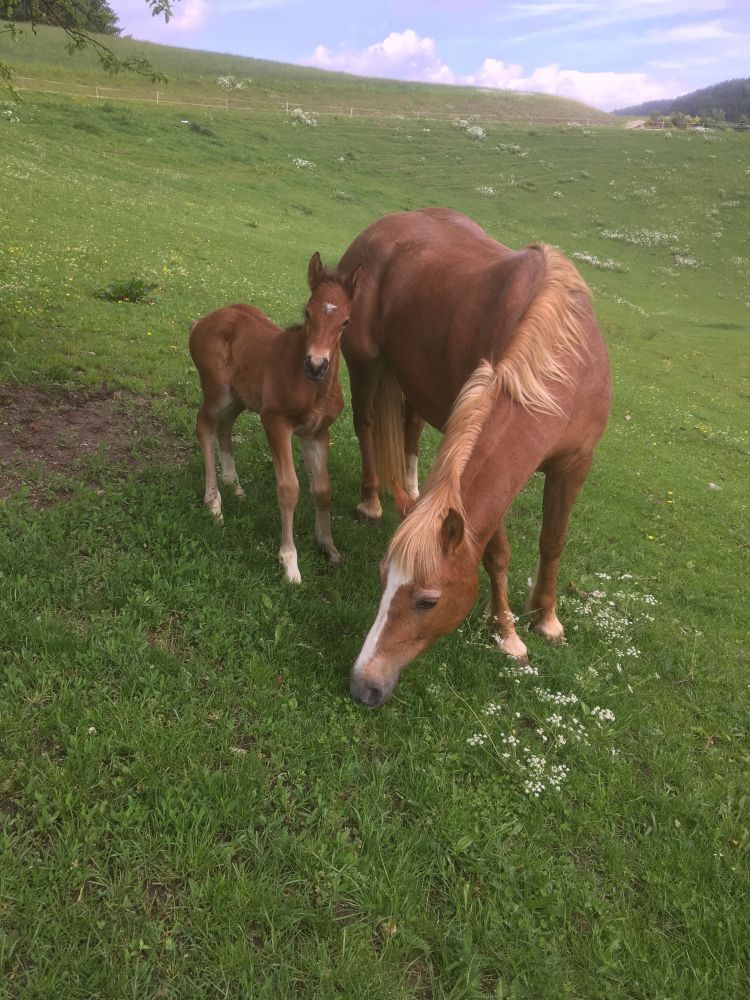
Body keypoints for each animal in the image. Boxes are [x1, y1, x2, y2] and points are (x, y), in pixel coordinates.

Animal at [191, 252, 362, 584]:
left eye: (346, 321)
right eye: (308, 312)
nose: (316, 365)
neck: (313, 387)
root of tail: (203, 321)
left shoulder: (317, 433)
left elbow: (323, 489)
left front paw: (328, 546)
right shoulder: (276, 423)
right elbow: (289, 489)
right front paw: (289, 562)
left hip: (241, 397)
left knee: (225, 425)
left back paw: (235, 486)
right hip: (219, 393)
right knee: (205, 424)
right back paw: (214, 504)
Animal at [338, 207, 612, 708]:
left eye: (426, 600)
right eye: (382, 579)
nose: (362, 685)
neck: (563, 364)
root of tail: (383, 226)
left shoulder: (573, 466)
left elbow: (553, 541)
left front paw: (545, 618)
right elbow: (495, 554)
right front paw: (506, 632)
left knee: (409, 427)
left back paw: (411, 495)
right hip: (365, 364)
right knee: (365, 424)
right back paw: (371, 501)